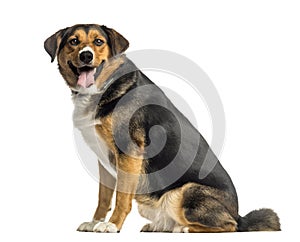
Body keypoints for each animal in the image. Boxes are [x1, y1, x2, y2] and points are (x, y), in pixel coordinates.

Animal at [44, 24, 282, 233]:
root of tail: (239, 215)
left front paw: (112, 225)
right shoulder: (104, 160)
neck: (103, 87)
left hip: (187, 191)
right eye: (74, 42)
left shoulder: (129, 152)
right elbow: (103, 197)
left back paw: (184, 228)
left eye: (99, 42)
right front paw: (95, 222)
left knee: (229, 226)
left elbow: (121, 198)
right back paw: (160, 226)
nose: (86, 56)